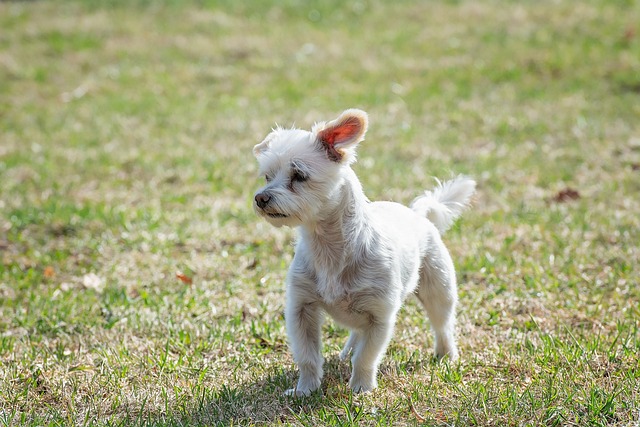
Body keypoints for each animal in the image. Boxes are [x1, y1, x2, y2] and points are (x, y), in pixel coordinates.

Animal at [252, 108, 472, 396]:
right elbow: (308, 356)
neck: (329, 249)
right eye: (267, 176)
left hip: (438, 291)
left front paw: (361, 388)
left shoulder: (380, 316)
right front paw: (305, 390)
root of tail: (417, 214)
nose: (261, 198)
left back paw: (446, 354)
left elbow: (367, 356)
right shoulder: (301, 309)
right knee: (358, 332)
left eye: (299, 175)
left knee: (442, 325)